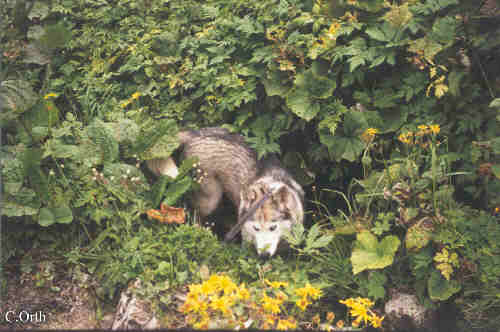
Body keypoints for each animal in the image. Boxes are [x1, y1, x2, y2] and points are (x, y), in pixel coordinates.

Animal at [146, 127, 304, 256]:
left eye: (273, 227)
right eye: (256, 228)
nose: (264, 256)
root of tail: (194, 135)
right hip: (211, 200)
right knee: (196, 216)